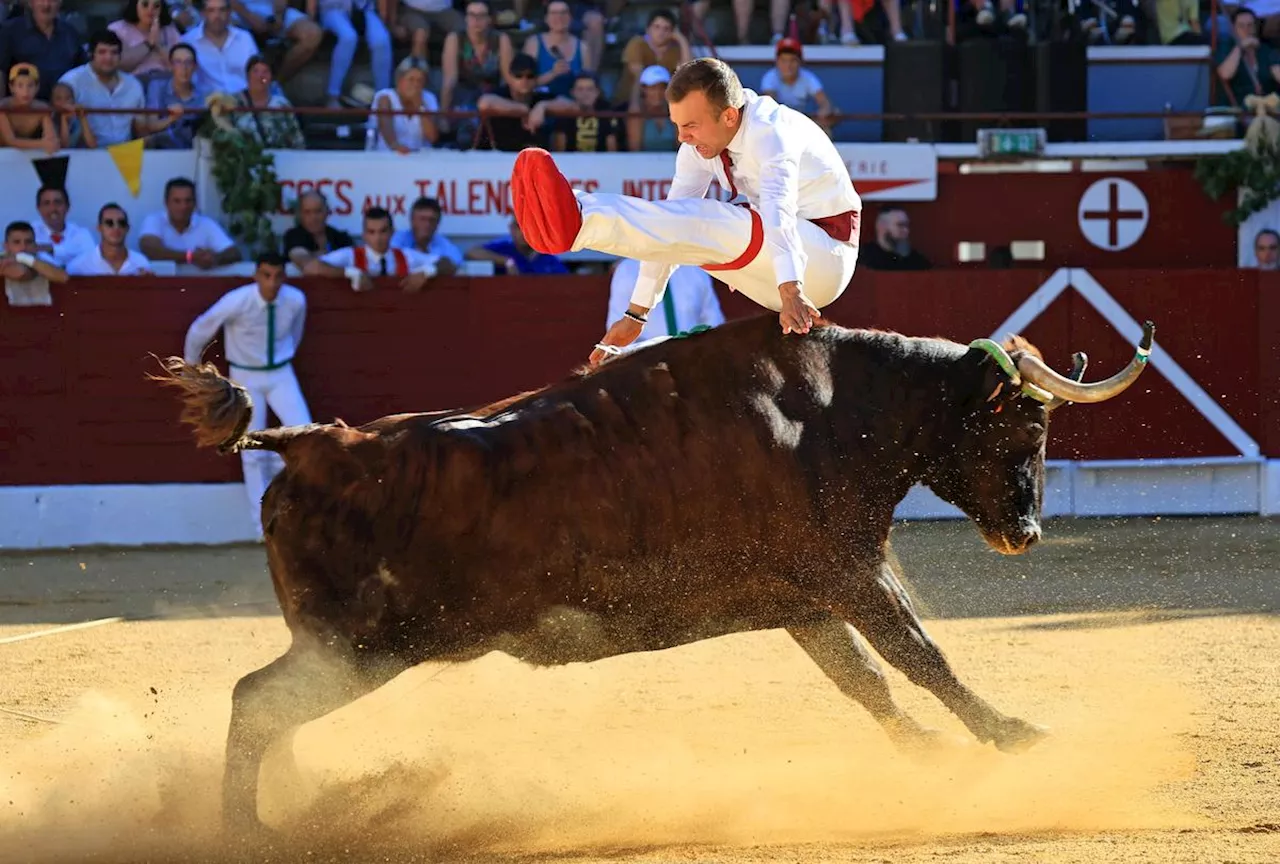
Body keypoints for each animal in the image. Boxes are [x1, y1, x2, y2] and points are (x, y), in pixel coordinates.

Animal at [149, 314, 1152, 834]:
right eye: (1028, 426)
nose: (1025, 531)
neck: (833, 411)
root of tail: (308, 444)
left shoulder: (806, 597)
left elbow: (866, 681)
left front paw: (938, 757)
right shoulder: (848, 574)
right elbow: (921, 657)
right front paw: (1016, 737)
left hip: (348, 649)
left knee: (262, 706)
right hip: (360, 649)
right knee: (255, 701)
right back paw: (250, 830)